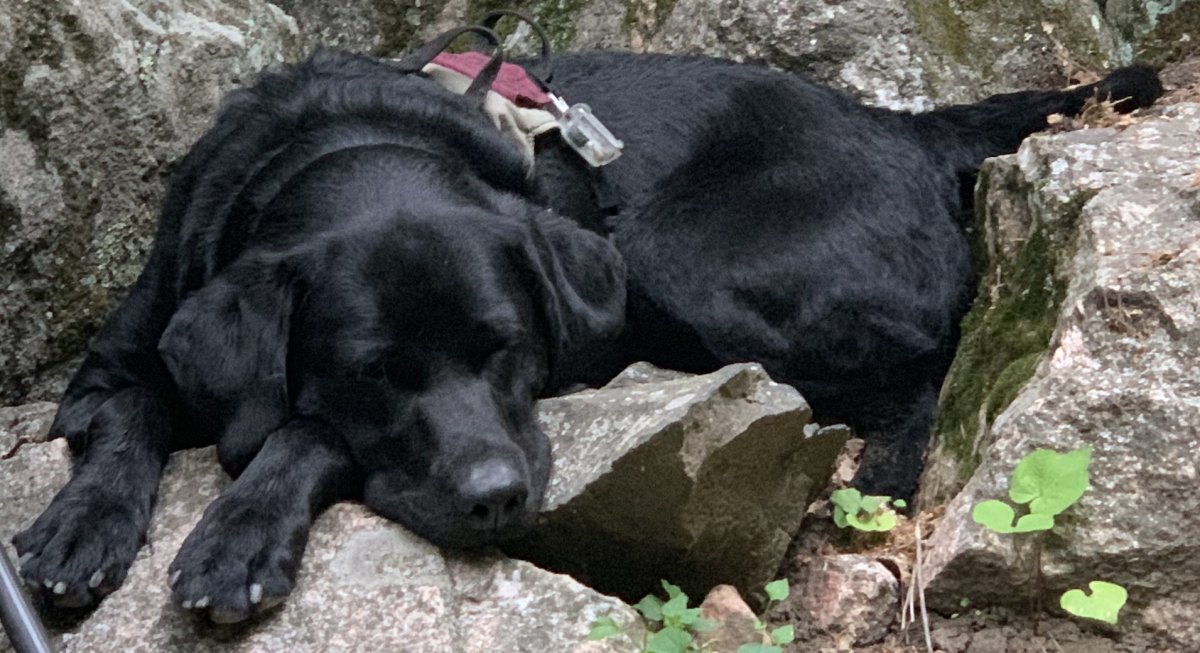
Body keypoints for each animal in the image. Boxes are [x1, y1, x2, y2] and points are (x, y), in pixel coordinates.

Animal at [14, 45, 1160, 623]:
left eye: (507, 346)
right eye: (371, 370)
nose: (497, 497)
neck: (342, 148)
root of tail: (904, 126)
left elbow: (302, 431)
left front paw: (240, 536)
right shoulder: (117, 361)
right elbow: (130, 414)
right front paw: (79, 527)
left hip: (667, 254)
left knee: (929, 358)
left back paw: (878, 466)